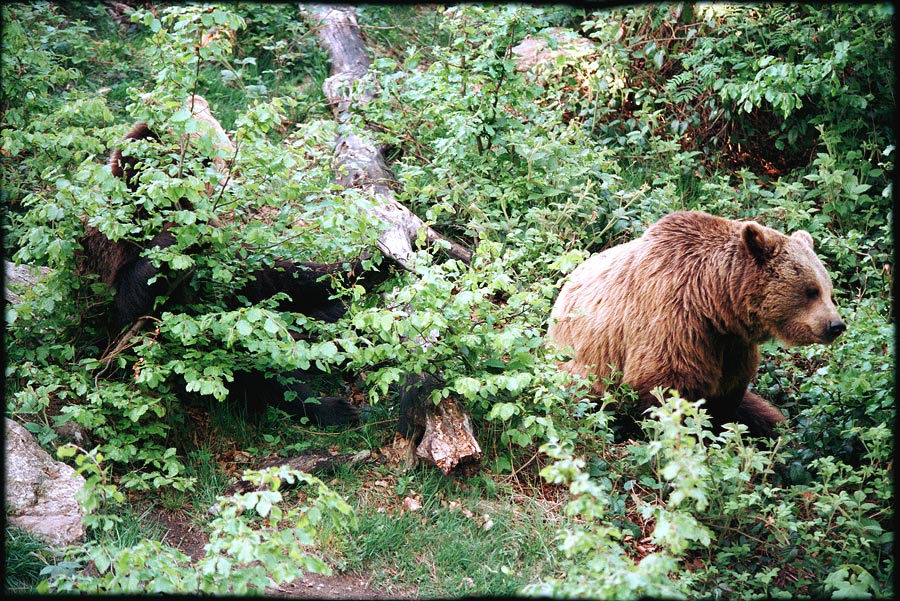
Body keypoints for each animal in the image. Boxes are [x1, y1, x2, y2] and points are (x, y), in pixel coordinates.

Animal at [81, 123, 394, 426]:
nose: (211, 164)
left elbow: (270, 275)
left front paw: (371, 265)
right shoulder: (118, 250)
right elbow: (132, 304)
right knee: (256, 366)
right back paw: (329, 405)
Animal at [544, 211, 848, 436]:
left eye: (829, 291)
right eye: (810, 291)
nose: (836, 325)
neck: (713, 301)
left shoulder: (732, 346)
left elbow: (729, 395)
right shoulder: (674, 322)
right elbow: (663, 386)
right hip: (582, 365)